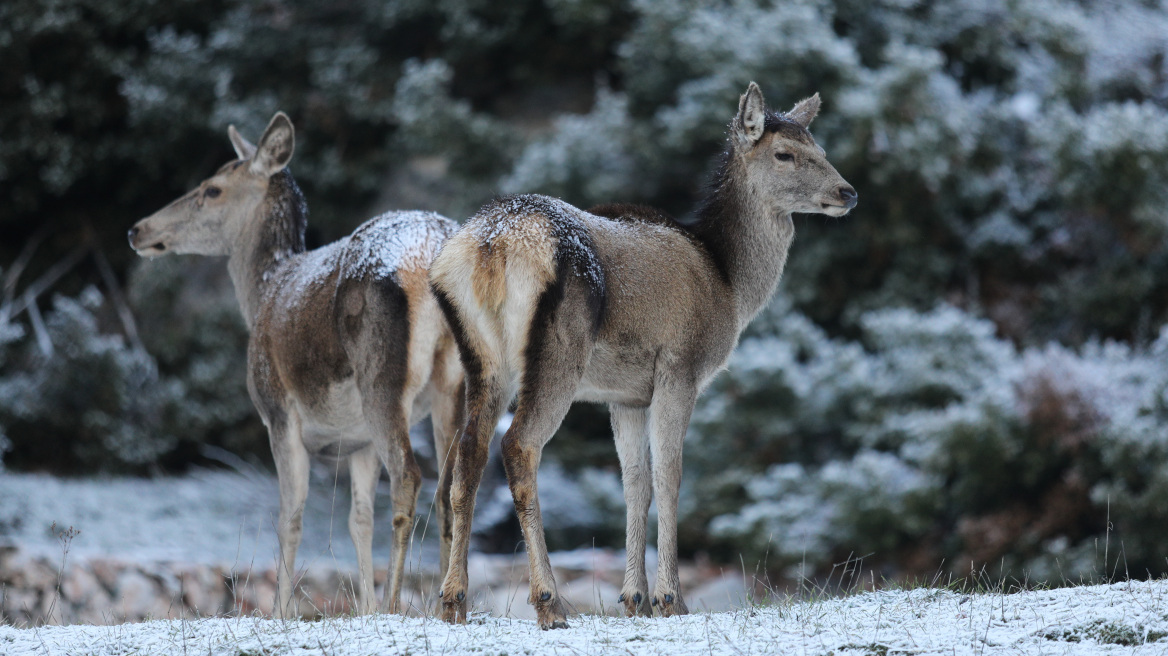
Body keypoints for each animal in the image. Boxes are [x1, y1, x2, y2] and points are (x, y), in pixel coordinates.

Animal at [123, 112, 460, 616]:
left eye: (212, 189)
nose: (138, 229)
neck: (263, 291)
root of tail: (428, 253)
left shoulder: (277, 411)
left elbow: (290, 516)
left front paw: (281, 612)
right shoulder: (357, 439)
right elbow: (358, 519)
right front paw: (364, 609)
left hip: (381, 375)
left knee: (410, 477)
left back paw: (398, 604)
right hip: (460, 380)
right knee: (454, 484)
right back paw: (448, 605)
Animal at [429, 82, 859, 630]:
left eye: (819, 148)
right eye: (785, 153)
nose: (848, 192)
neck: (729, 283)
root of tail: (491, 246)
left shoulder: (626, 393)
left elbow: (634, 482)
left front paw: (633, 598)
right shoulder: (681, 366)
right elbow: (669, 476)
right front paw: (670, 598)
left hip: (480, 357)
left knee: (465, 457)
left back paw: (453, 600)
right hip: (557, 349)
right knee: (519, 446)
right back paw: (548, 601)